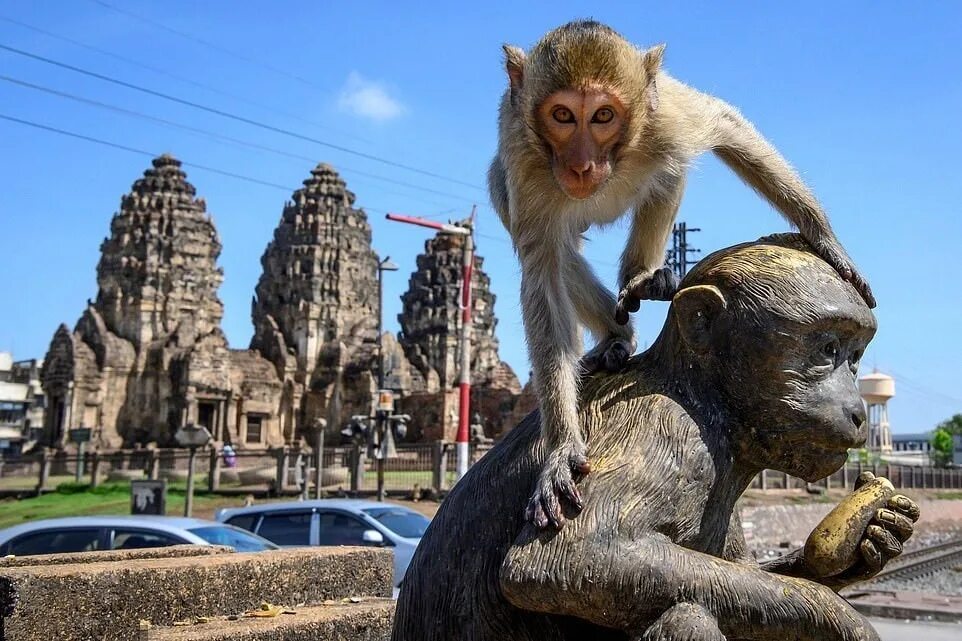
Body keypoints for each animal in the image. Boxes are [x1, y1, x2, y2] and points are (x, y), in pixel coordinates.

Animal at [492, 21, 872, 528]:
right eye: (562, 115)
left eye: (603, 115)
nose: (581, 165)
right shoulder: (525, 161)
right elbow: (543, 273)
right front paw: (561, 451)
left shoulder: (666, 120)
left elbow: (724, 124)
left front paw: (824, 237)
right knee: (549, 241)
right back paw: (617, 334)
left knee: (669, 172)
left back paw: (642, 277)